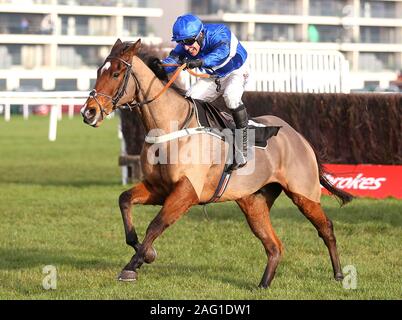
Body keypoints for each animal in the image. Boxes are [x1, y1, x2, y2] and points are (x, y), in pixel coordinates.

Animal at [79, 38, 352, 288]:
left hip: (303, 194)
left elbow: (156, 224)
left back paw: (339, 274)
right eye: (98, 71)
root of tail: (299, 137)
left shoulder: (187, 191)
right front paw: (146, 253)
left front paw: (132, 266)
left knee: (326, 227)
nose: (88, 112)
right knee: (274, 245)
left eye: (116, 73)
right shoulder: (159, 187)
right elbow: (124, 200)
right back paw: (263, 284)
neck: (172, 127)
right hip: (253, 202)